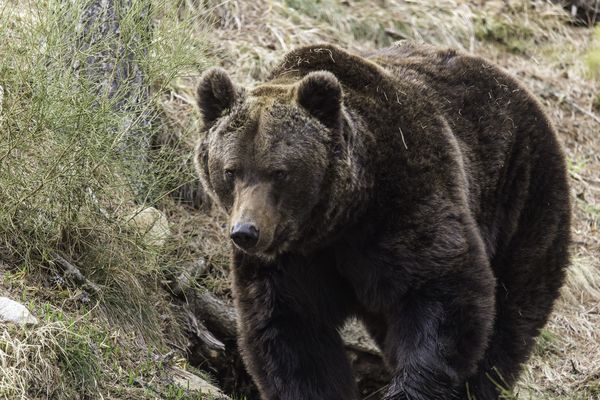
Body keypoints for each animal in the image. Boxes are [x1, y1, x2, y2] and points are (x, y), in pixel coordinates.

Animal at [193, 42, 572, 398]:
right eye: (231, 170)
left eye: (279, 172)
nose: (246, 232)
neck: (339, 219)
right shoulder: (292, 261)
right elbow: (290, 333)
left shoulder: (408, 201)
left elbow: (446, 291)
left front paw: (410, 388)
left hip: (522, 194)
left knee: (512, 314)